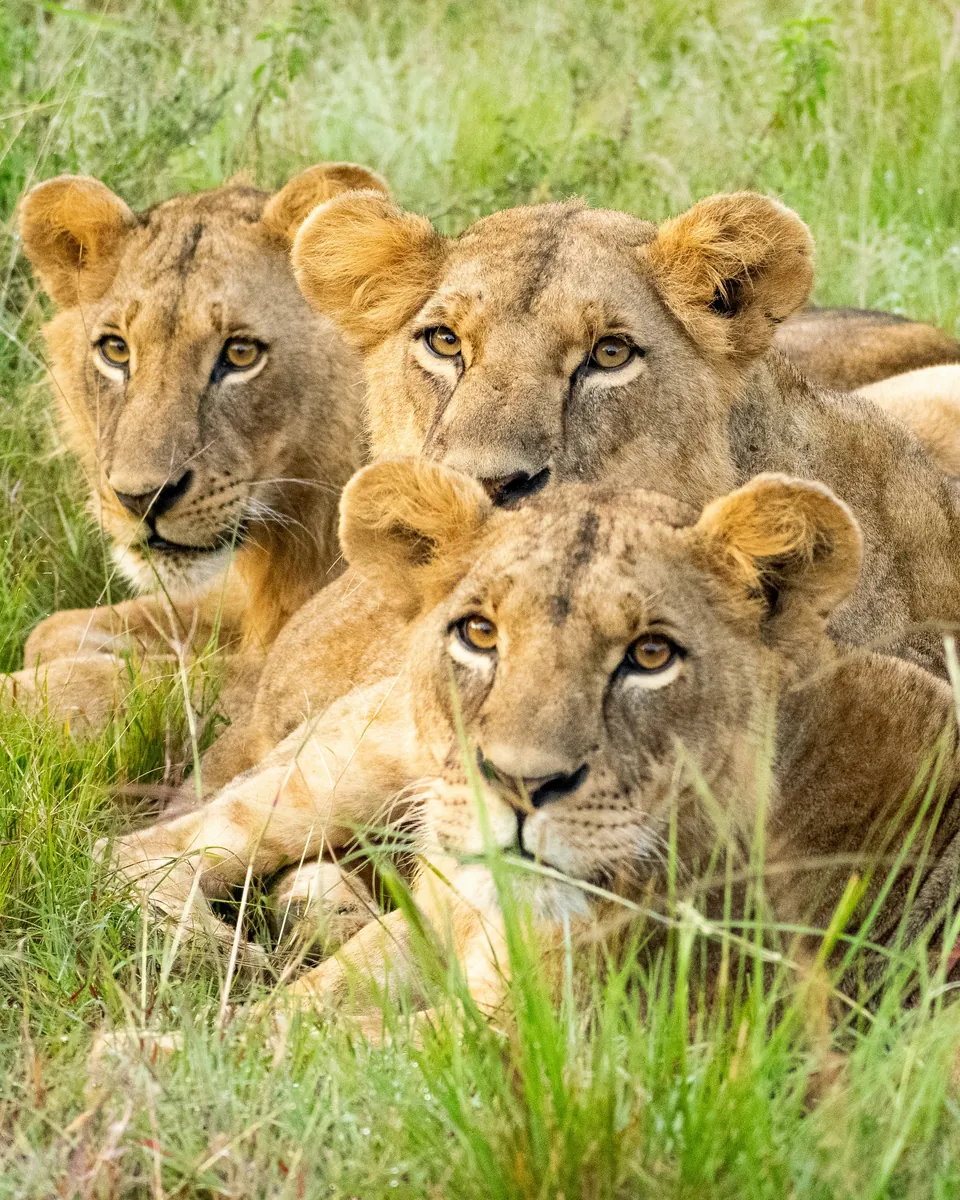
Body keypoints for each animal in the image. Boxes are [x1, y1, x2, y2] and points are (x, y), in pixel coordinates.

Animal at [8, 162, 387, 734]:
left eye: (241, 353)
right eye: (115, 350)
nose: (141, 499)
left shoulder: (259, 686)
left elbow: (102, 688)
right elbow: (52, 630)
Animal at [100, 460, 960, 1015]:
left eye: (652, 655)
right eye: (480, 633)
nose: (517, 784)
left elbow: (343, 1050)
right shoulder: (435, 927)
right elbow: (297, 1019)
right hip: (355, 760)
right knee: (138, 847)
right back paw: (214, 951)